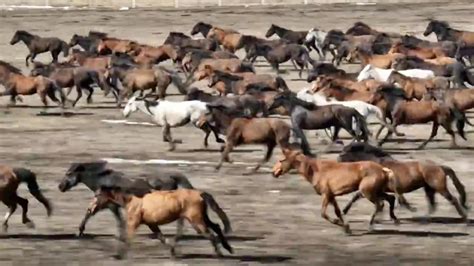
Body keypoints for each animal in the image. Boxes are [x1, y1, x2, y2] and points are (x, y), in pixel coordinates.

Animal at [57, 161, 202, 238]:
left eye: (69, 174)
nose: (60, 187)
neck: (103, 181)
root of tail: (172, 176)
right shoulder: (106, 204)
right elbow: (92, 213)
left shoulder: (108, 205)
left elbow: (113, 218)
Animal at [91, 186, 233, 258]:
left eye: (97, 196)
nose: (90, 209)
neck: (131, 200)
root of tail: (200, 193)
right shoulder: (152, 224)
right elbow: (161, 238)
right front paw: (173, 252)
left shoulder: (133, 223)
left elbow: (127, 238)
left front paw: (119, 255)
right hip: (202, 218)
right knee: (217, 227)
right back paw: (228, 249)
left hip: (196, 221)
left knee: (210, 234)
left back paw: (219, 254)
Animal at [272, 149, 402, 234]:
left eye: (281, 160)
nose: (274, 172)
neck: (316, 170)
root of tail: (383, 169)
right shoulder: (331, 196)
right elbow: (338, 212)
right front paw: (346, 227)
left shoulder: (326, 194)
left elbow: (324, 214)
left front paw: (343, 225)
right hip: (376, 191)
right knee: (391, 199)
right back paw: (395, 220)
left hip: (367, 192)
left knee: (380, 204)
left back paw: (371, 225)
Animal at [338, 143, 468, 220]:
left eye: (343, 153)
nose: (338, 161)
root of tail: (440, 167)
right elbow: (356, 196)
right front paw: (344, 211)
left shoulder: (374, 189)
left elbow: (358, 196)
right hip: (429, 189)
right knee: (432, 204)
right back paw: (424, 218)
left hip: (439, 187)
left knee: (453, 200)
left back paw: (464, 218)